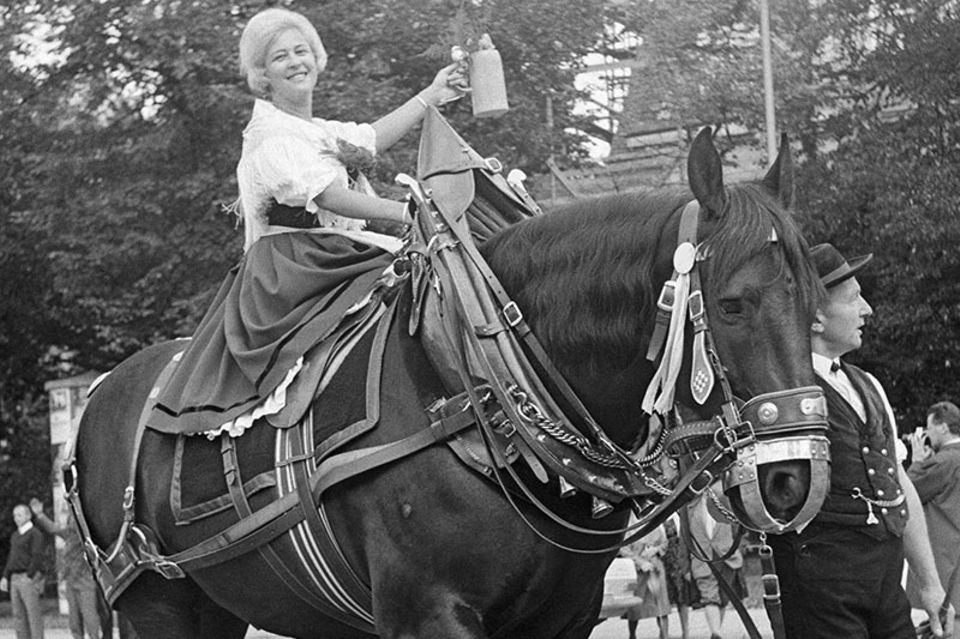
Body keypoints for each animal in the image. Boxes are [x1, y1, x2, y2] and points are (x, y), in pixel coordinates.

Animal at [73, 127, 824, 636]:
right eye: (731, 304)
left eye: (812, 299)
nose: (796, 475)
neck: (472, 385)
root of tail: (100, 395)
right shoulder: (429, 612)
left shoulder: (564, 614)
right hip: (159, 604)